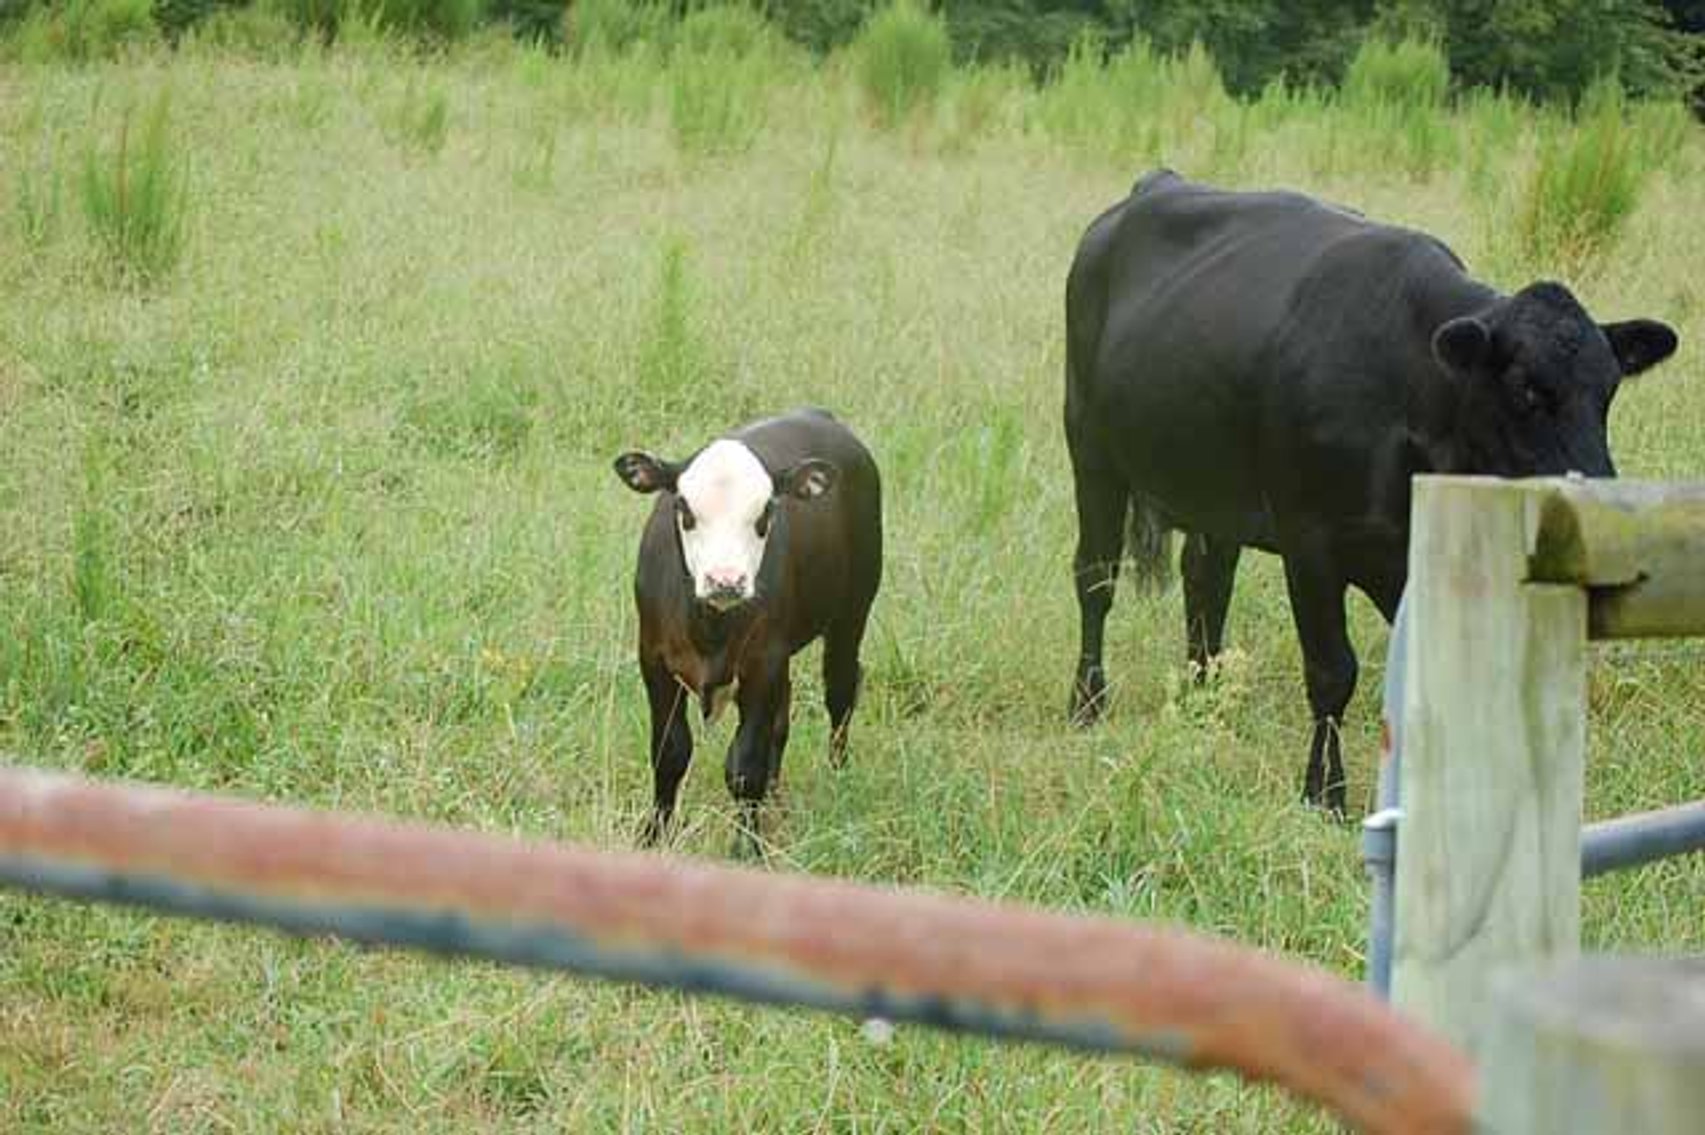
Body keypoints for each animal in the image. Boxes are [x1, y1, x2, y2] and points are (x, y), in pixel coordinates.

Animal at [613, 408, 883, 854]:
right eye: (684, 509)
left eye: (765, 513)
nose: (726, 580)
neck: (711, 629)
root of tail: (818, 414)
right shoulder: (653, 659)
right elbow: (669, 754)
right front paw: (653, 835)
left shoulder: (761, 664)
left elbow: (744, 766)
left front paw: (747, 847)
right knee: (783, 719)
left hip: (851, 612)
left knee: (841, 691)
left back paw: (838, 775)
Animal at [1064, 169, 1680, 816]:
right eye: (1526, 389)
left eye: (1609, 389)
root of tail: (1154, 184)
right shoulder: (1309, 539)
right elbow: (1333, 670)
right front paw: (1324, 792)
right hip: (1090, 450)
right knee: (1096, 577)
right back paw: (1088, 702)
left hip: (1216, 490)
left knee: (1206, 583)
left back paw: (1203, 700)